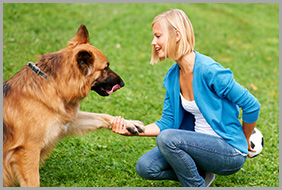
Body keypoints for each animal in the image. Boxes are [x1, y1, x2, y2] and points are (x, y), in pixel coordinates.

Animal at [3, 24, 145, 187]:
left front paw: (128, 123)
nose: (122, 83)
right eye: (106, 68)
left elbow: (102, 116)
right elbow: (34, 182)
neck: (54, 84)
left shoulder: (66, 122)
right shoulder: (27, 151)